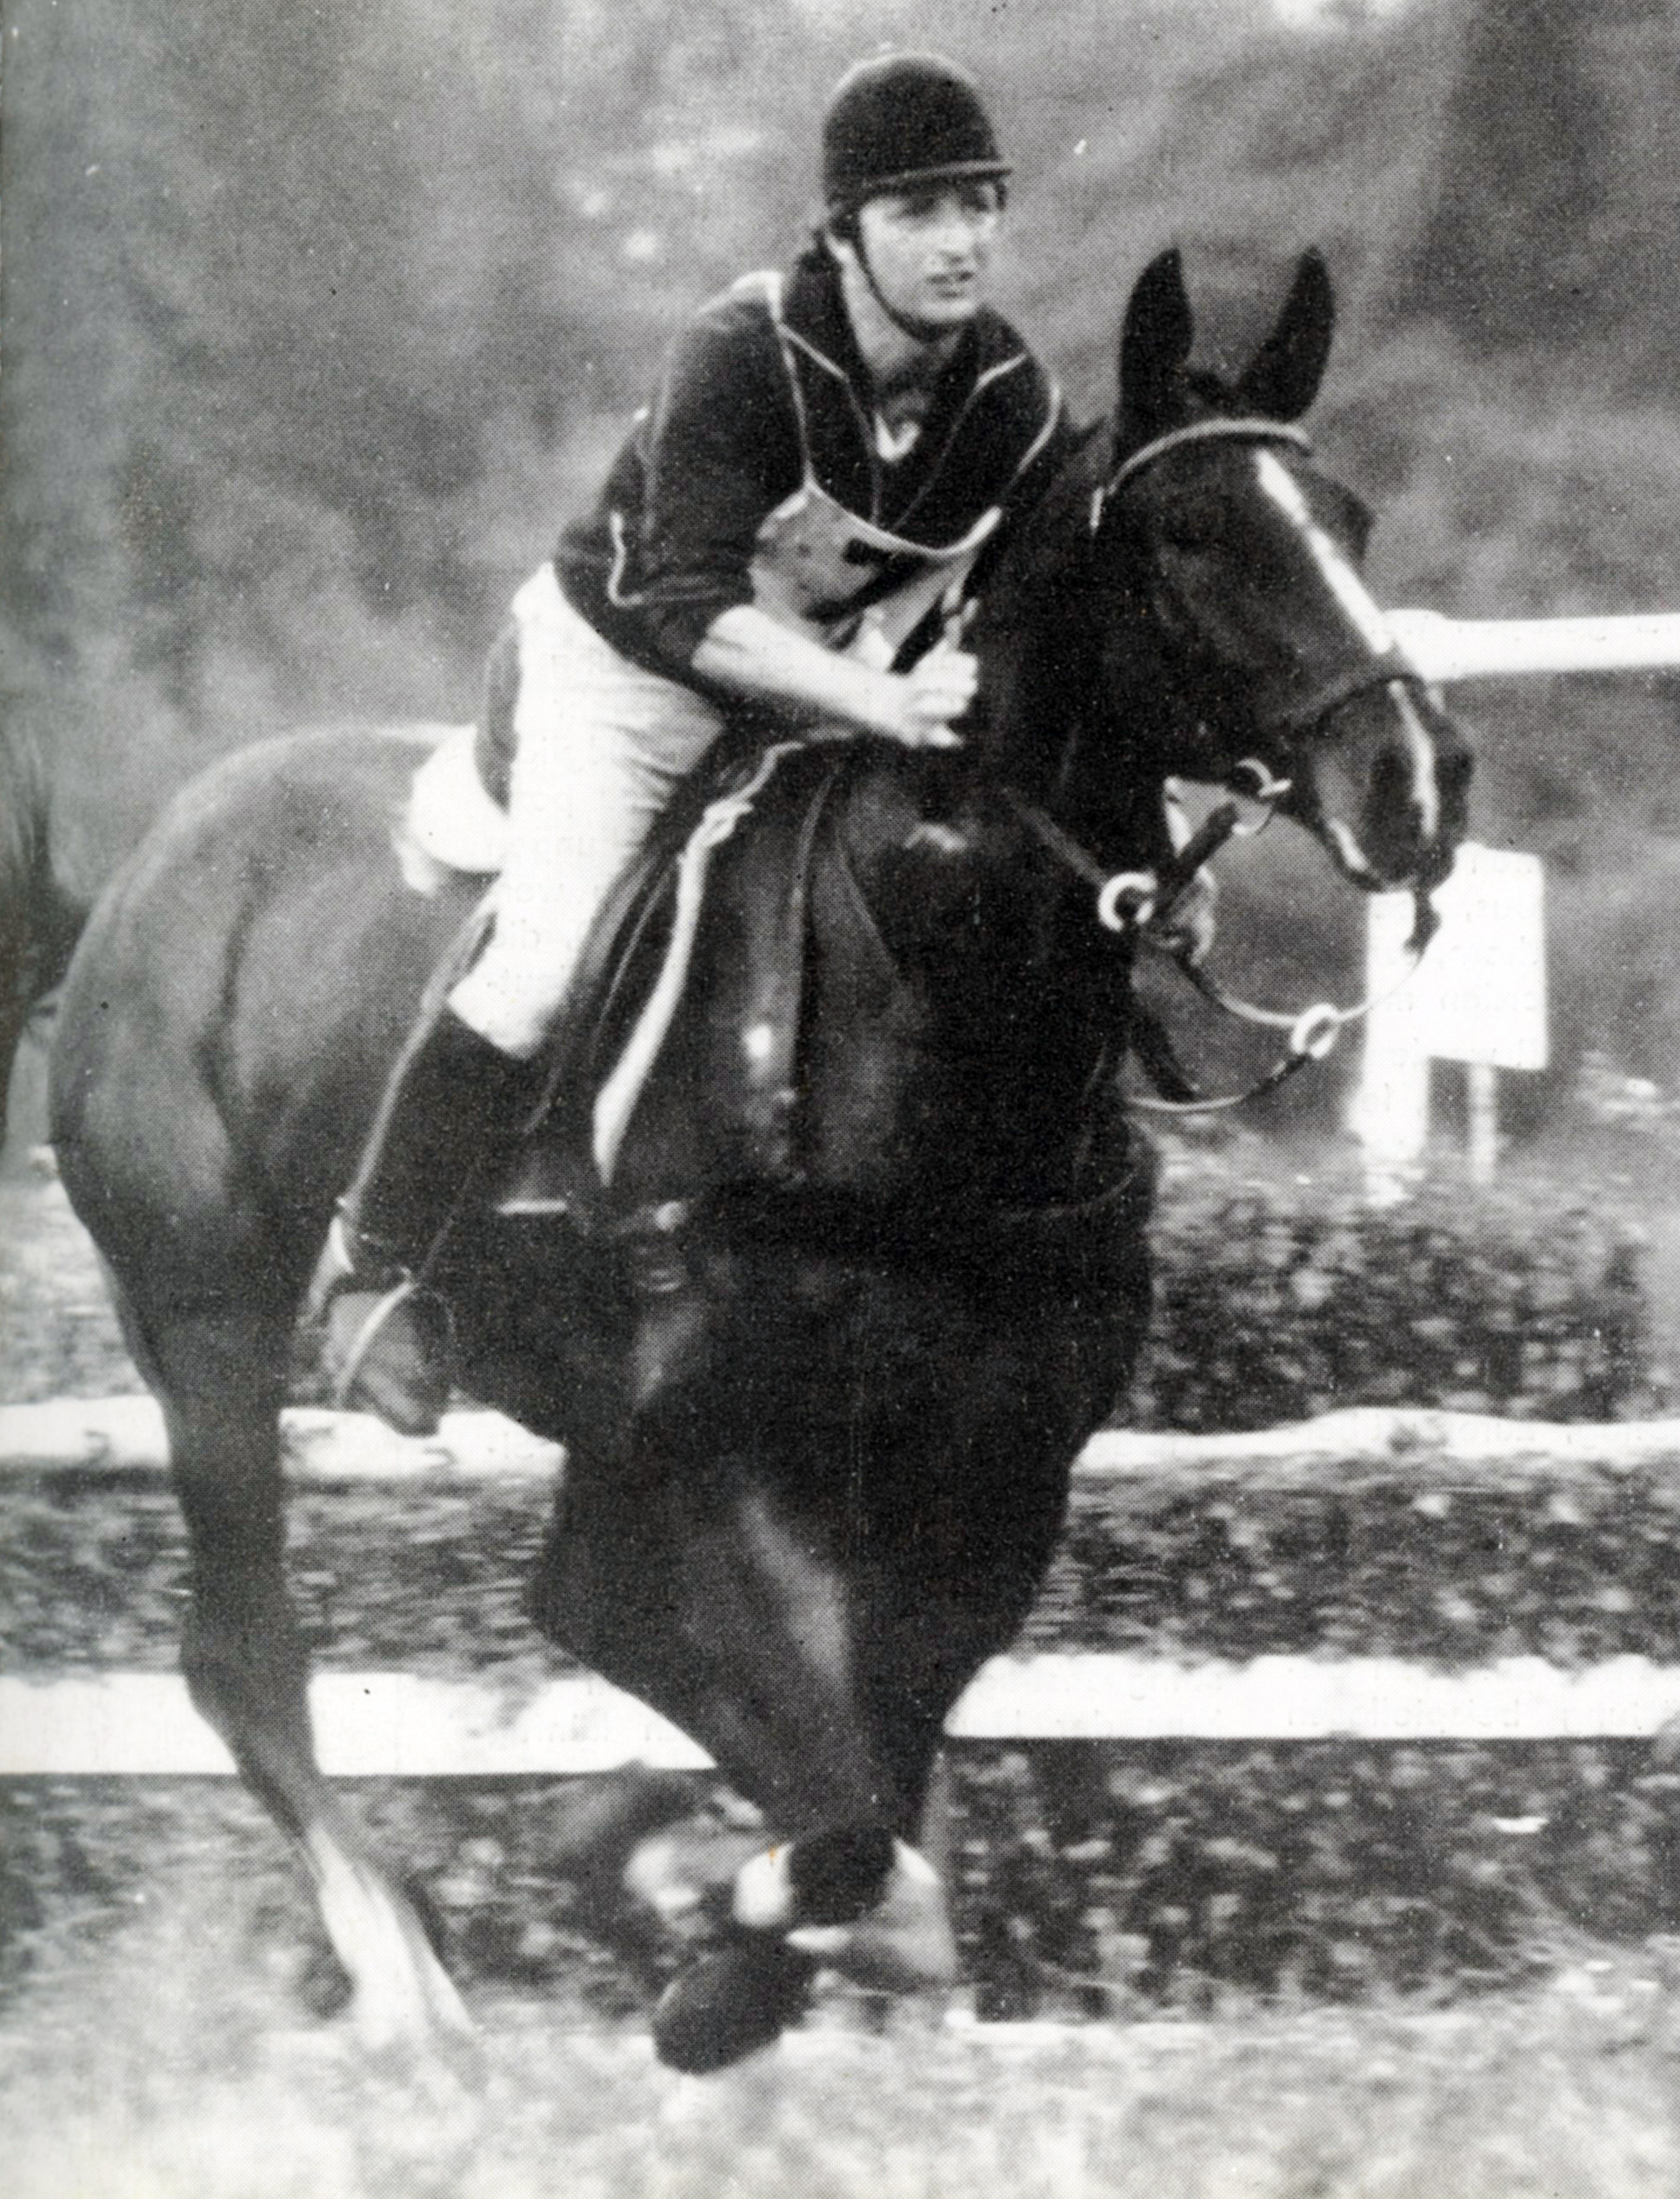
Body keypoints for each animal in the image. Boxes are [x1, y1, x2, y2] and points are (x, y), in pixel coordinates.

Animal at [47, 249, 1470, 2073]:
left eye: (1347, 515)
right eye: (1189, 536)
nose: (1419, 778)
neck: (928, 986)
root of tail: (148, 869)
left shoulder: (990, 1474)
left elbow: (871, 1763)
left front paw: (693, 1891)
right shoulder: (721, 1454)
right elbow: (840, 1804)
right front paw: (704, 1928)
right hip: (210, 1336)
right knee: (246, 1651)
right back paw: (410, 1978)